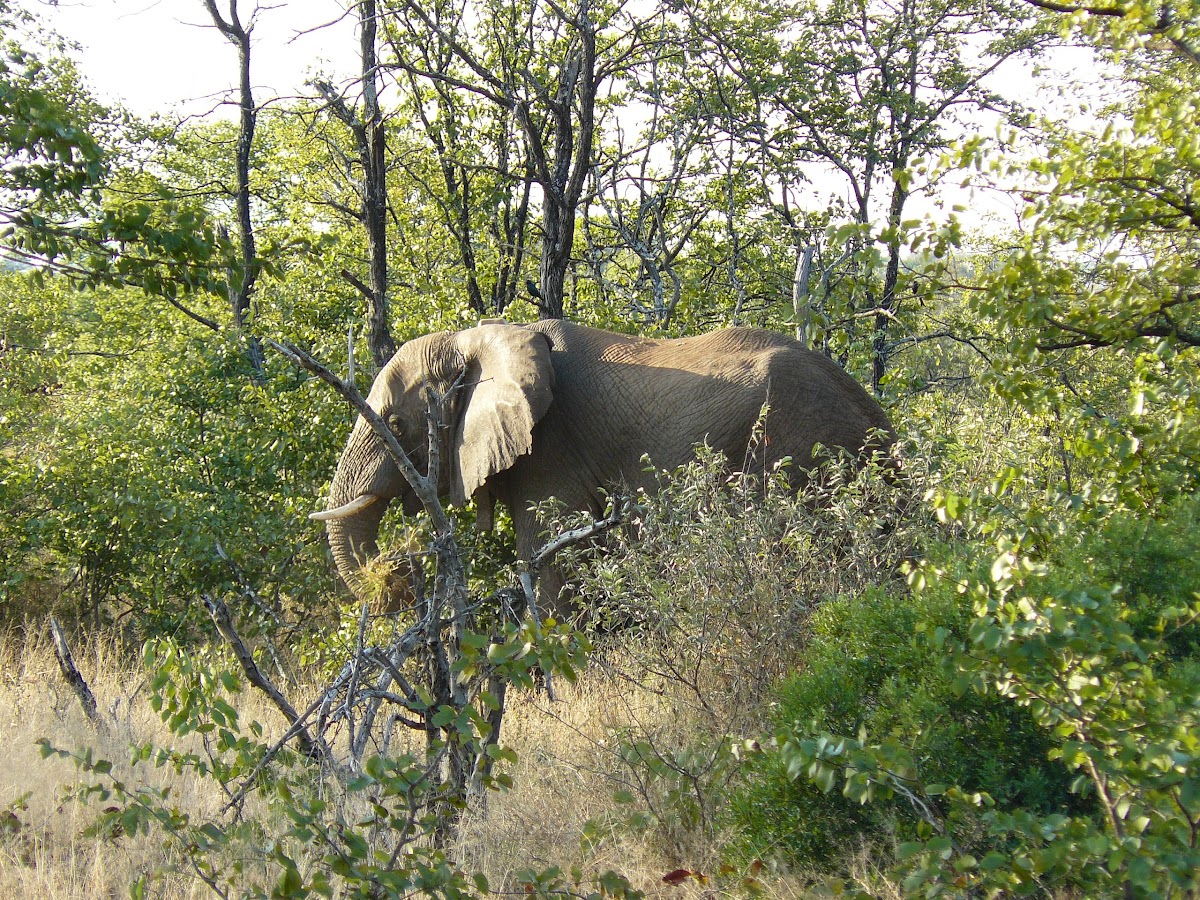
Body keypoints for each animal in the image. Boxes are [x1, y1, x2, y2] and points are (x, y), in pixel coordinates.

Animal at [314, 321, 897, 624]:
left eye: (395, 422)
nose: (398, 569)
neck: (479, 339)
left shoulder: (551, 448)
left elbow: (552, 564)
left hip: (803, 446)